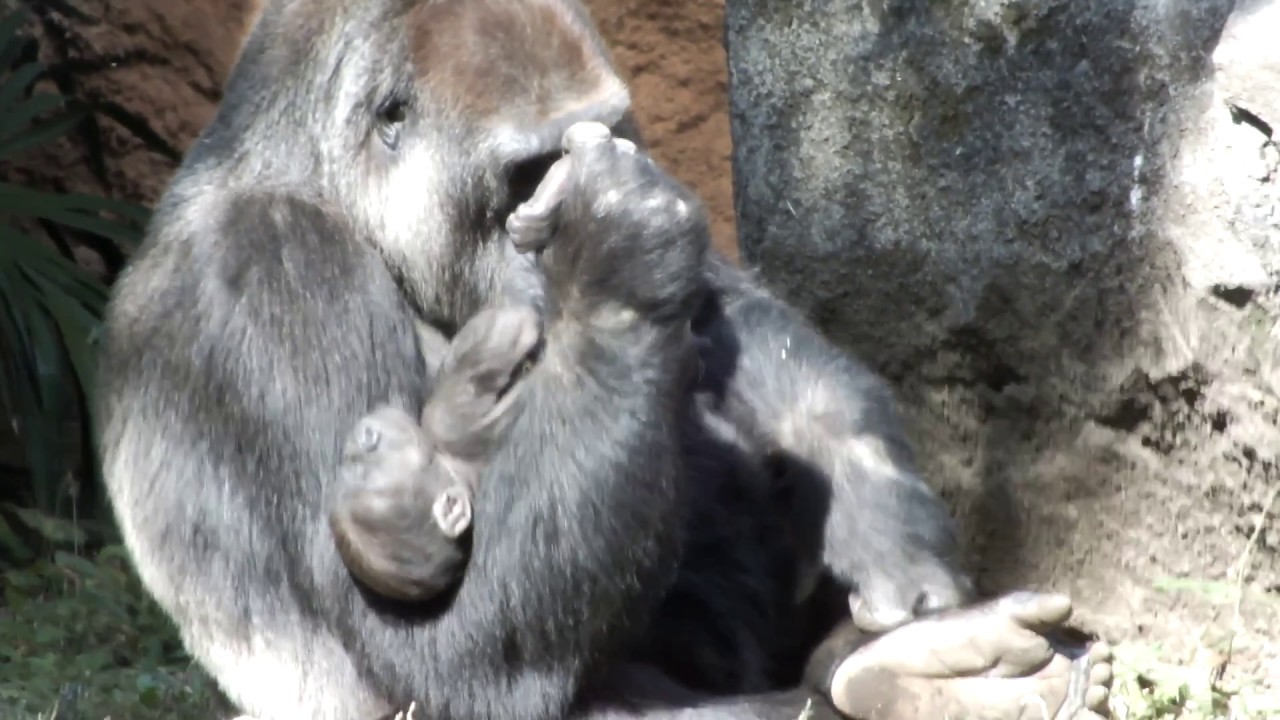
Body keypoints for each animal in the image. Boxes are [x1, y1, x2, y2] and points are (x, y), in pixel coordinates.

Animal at [94, 1, 1114, 719]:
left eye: (606, 138)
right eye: (524, 171)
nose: (546, 238)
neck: (318, 179)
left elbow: (727, 318)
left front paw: (882, 519)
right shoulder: (269, 270)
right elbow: (447, 651)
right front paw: (618, 254)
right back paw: (898, 681)